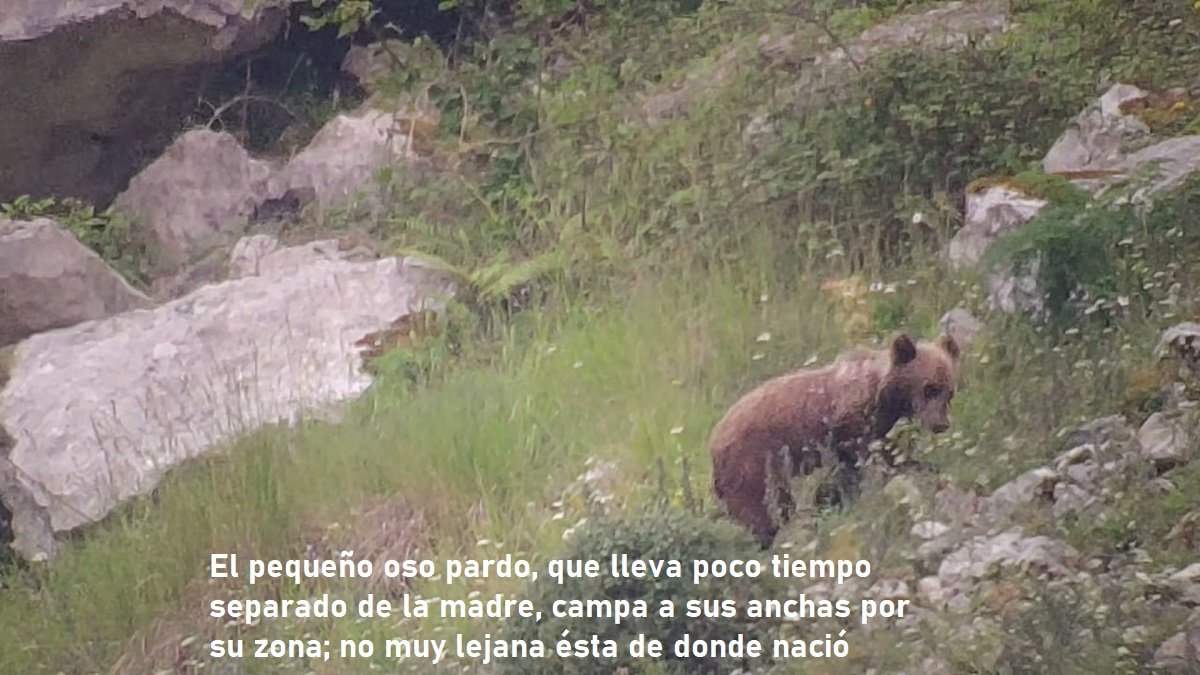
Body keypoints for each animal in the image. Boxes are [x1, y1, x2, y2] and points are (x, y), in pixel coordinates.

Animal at [709, 332, 961, 548]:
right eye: (930, 388)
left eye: (949, 391)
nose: (941, 424)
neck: (882, 395)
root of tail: (714, 440)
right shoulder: (848, 424)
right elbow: (855, 465)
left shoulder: (878, 428)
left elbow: (887, 455)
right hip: (752, 462)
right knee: (758, 508)